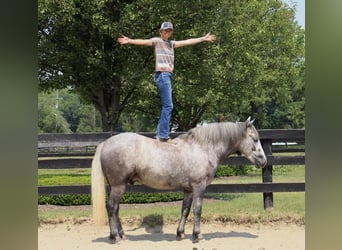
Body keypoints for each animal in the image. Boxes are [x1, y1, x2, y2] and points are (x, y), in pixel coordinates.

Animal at [91, 118, 268, 243]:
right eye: (254, 139)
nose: (264, 161)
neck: (202, 147)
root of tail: (106, 143)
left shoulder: (188, 190)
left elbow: (185, 210)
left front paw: (180, 234)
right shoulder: (199, 187)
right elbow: (197, 210)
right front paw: (196, 236)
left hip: (116, 186)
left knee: (116, 209)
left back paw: (122, 235)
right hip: (118, 186)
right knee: (111, 207)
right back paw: (114, 237)